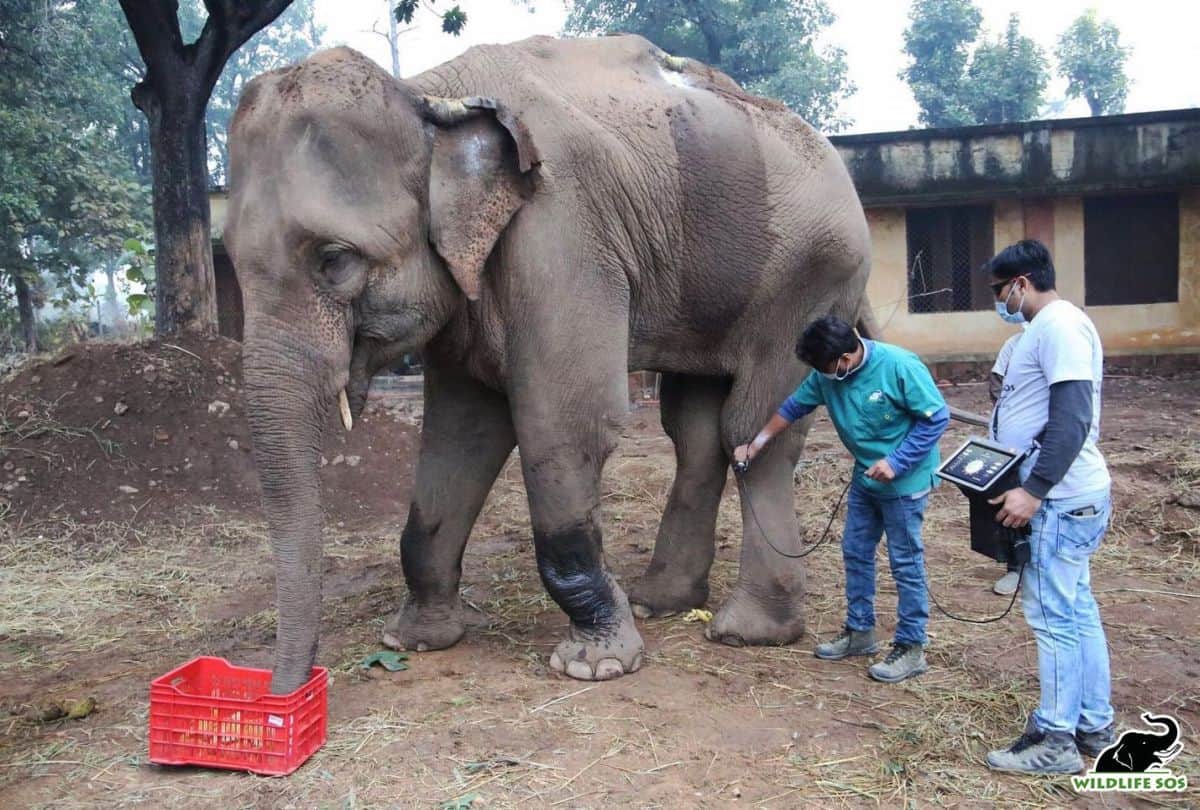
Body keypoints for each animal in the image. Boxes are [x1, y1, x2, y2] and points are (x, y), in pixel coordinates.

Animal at [224, 34, 873, 694]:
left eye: (334, 259)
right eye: (230, 256)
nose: (290, 693)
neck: (426, 93)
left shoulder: (560, 231)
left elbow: (568, 424)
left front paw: (596, 664)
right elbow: (462, 434)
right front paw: (415, 640)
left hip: (811, 282)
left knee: (754, 427)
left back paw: (748, 632)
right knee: (696, 432)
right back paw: (659, 601)